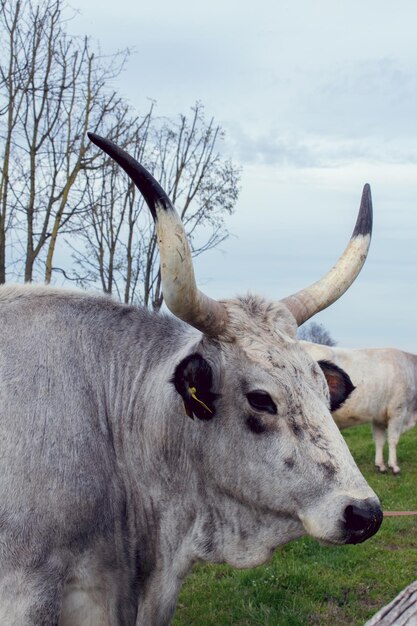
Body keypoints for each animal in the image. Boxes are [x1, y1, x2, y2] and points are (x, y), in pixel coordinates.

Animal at [300, 342, 416, 472]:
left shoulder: (378, 416)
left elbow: (380, 440)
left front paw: (380, 465)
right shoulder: (398, 410)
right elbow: (393, 440)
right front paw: (394, 466)